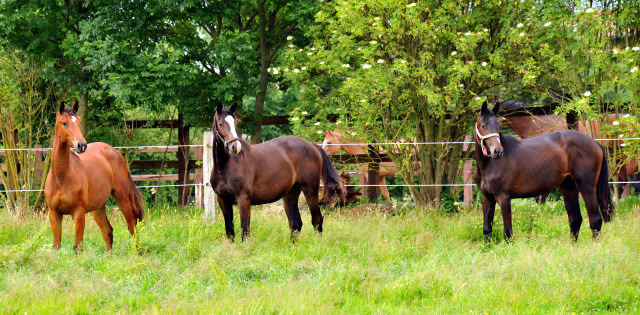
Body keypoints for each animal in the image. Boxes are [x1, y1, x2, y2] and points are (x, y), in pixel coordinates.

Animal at [45, 102, 144, 252]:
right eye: (64, 123)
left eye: (79, 122)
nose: (81, 145)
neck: (61, 178)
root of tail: (114, 152)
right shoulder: (54, 214)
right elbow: (56, 246)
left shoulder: (79, 213)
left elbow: (77, 247)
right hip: (98, 207)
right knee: (107, 231)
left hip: (122, 197)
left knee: (132, 225)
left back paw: (136, 252)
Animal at [211, 102, 344, 241]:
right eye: (221, 124)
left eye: (235, 123)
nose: (235, 147)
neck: (226, 168)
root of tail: (313, 146)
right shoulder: (223, 200)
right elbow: (230, 231)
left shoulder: (243, 200)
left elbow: (245, 230)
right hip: (291, 193)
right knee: (295, 223)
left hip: (310, 189)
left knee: (317, 220)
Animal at [476, 102, 616, 241]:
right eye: (483, 126)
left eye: (498, 126)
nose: (497, 151)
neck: (490, 165)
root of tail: (595, 143)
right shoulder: (487, 197)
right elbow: (487, 230)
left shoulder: (504, 198)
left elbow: (507, 233)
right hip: (568, 187)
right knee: (575, 219)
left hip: (587, 187)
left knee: (595, 219)